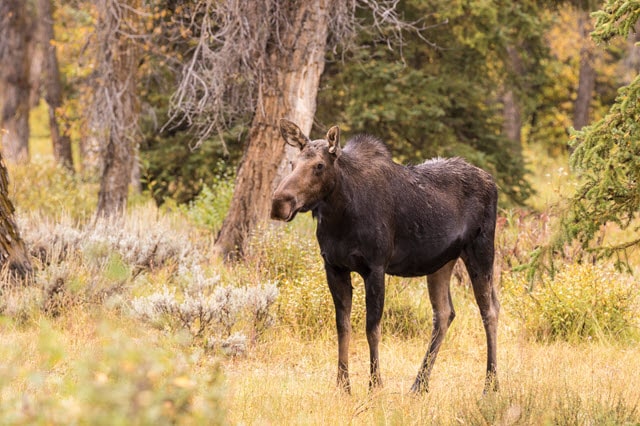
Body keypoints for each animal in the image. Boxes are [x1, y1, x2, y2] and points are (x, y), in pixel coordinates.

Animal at [270, 119, 500, 392]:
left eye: (319, 165)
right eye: (292, 163)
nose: (279, 202)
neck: (340, 216)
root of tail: (493, 182)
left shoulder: (375, 267)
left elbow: (372, 328)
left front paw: (375, 385)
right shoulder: (334, 266)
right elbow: (342, 327)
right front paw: (343, 385)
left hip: (481, 250)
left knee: (489, 310)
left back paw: (491, 385)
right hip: (442, 262)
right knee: (445, 313)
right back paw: (419, 385)